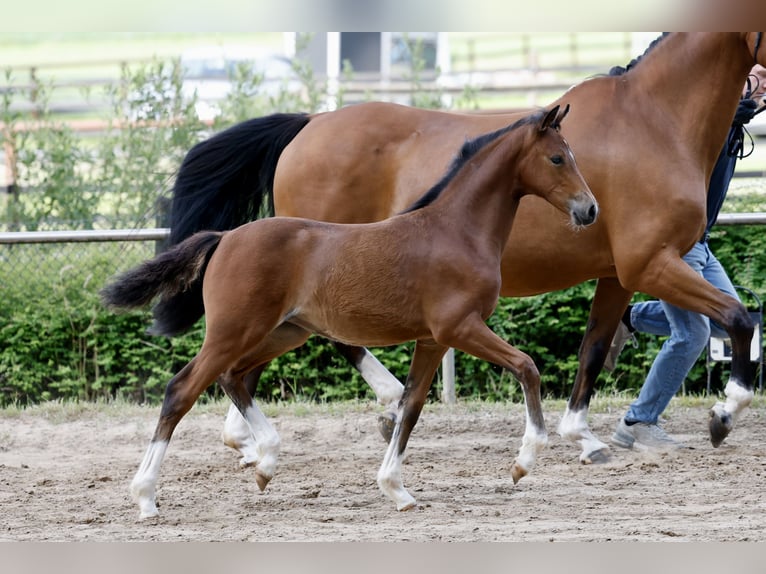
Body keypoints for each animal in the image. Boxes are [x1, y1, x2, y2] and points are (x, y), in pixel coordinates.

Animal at [102, 105, 597, 518]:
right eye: (557, 158)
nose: (590, 210)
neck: (456, 230)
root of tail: (224, 237)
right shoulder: (460, 327)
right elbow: (526, 366)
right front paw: (524, 461)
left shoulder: (432, 340)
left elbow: (412, 406)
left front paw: (396, 488)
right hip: (234, 331)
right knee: (182, 390)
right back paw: (146, 497)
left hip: (283, 332)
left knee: (232, 377)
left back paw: (265, 461)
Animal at [169, 33, 764, 465]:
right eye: (558, 158)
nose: (587, 210)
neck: (653, 120)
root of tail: (308, 123)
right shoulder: (652, 264)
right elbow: (738, 317)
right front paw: (725, 413)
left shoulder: (619, 273)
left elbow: (595, 348)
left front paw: (583, 435)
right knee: (329, 341)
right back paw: (383, 402)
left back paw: (247, 440)